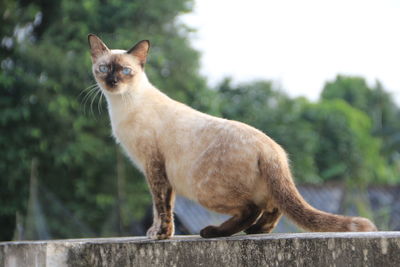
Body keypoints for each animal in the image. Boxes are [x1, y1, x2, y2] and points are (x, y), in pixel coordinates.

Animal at [86, 34, 376, 241]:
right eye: (104, 68)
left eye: (125, 71)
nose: (112, 82)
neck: (121, 104)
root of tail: (272, 148)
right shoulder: (154, 170)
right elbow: (162, 208)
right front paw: (157, 233)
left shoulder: (154, 168)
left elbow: (161, 207)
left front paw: (159, 236)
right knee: (274, 206)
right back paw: (255, 231)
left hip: (204, 189)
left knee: (251, 208)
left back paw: (212, 232)